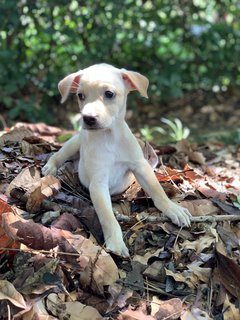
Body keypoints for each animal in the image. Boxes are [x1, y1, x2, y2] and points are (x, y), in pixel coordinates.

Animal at [41, 63, 191, 256]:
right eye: (80, 96)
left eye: (109, 94)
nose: (88, 118)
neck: (109, 137)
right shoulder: (98, 184)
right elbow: (108, 217)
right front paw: (116, 242)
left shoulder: (140, 166)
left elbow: (157, 191)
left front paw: (173, 209)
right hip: (75, 143)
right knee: (58, 155)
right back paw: (50, 167)